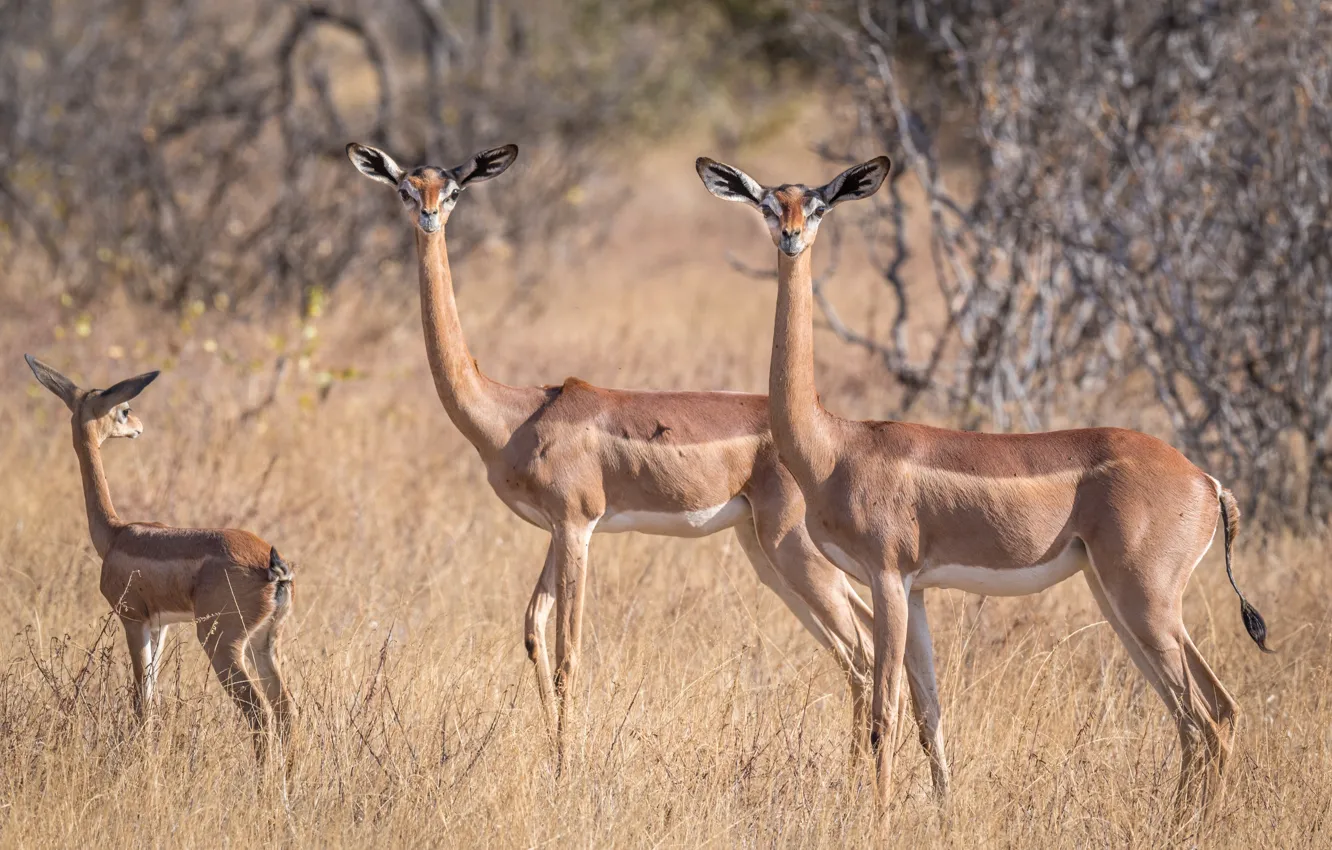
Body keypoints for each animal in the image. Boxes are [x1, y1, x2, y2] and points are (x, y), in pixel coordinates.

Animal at [26, 355, 296, 761]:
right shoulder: (160, 625)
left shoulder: (132, 619)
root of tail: (272, 567)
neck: (116, 533)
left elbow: (141, 699)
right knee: (286, 710)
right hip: (265, 642)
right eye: (125, 410)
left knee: (259, 714)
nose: (138, 428)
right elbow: (151, 696)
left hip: (222, 644)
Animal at [344, 141, 952, 788]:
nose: (429, 217)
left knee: (860, 649)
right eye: (406, 187)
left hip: (794, 549)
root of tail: (833, 436)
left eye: (454, 190)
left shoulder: (576, 526)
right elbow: (533, 631)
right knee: (863, 645)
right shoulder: (556, 531)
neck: (512, 413)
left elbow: (568, 654)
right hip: (765, 552)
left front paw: (565, 768)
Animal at [697, 155, 1273, 816]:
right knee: (1196, 715)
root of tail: (1207, 480)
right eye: (769, 204)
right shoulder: (917, 590)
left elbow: (886, 712)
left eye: (818, 206)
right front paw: (943, 814)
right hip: (1118, 598)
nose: (791, 238)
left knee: (1211, 714)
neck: (834, 445)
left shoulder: (887, 578)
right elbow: (930, 714)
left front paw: (878, 820)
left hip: (1146, 601)